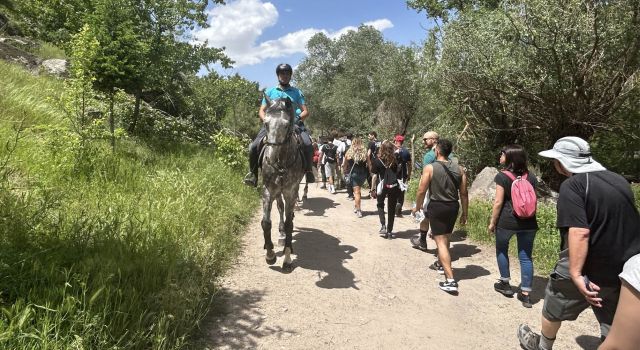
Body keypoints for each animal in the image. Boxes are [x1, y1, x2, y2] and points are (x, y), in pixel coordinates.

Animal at [258, 96, 304, 274]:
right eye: (265, 123)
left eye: (285, 125)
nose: (270, 157)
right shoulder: (268, 191)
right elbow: (266, 222)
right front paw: (270, 254)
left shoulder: (291, 192)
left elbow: (290, 224)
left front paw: (287, 259)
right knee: (280, 207)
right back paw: (281, 233)